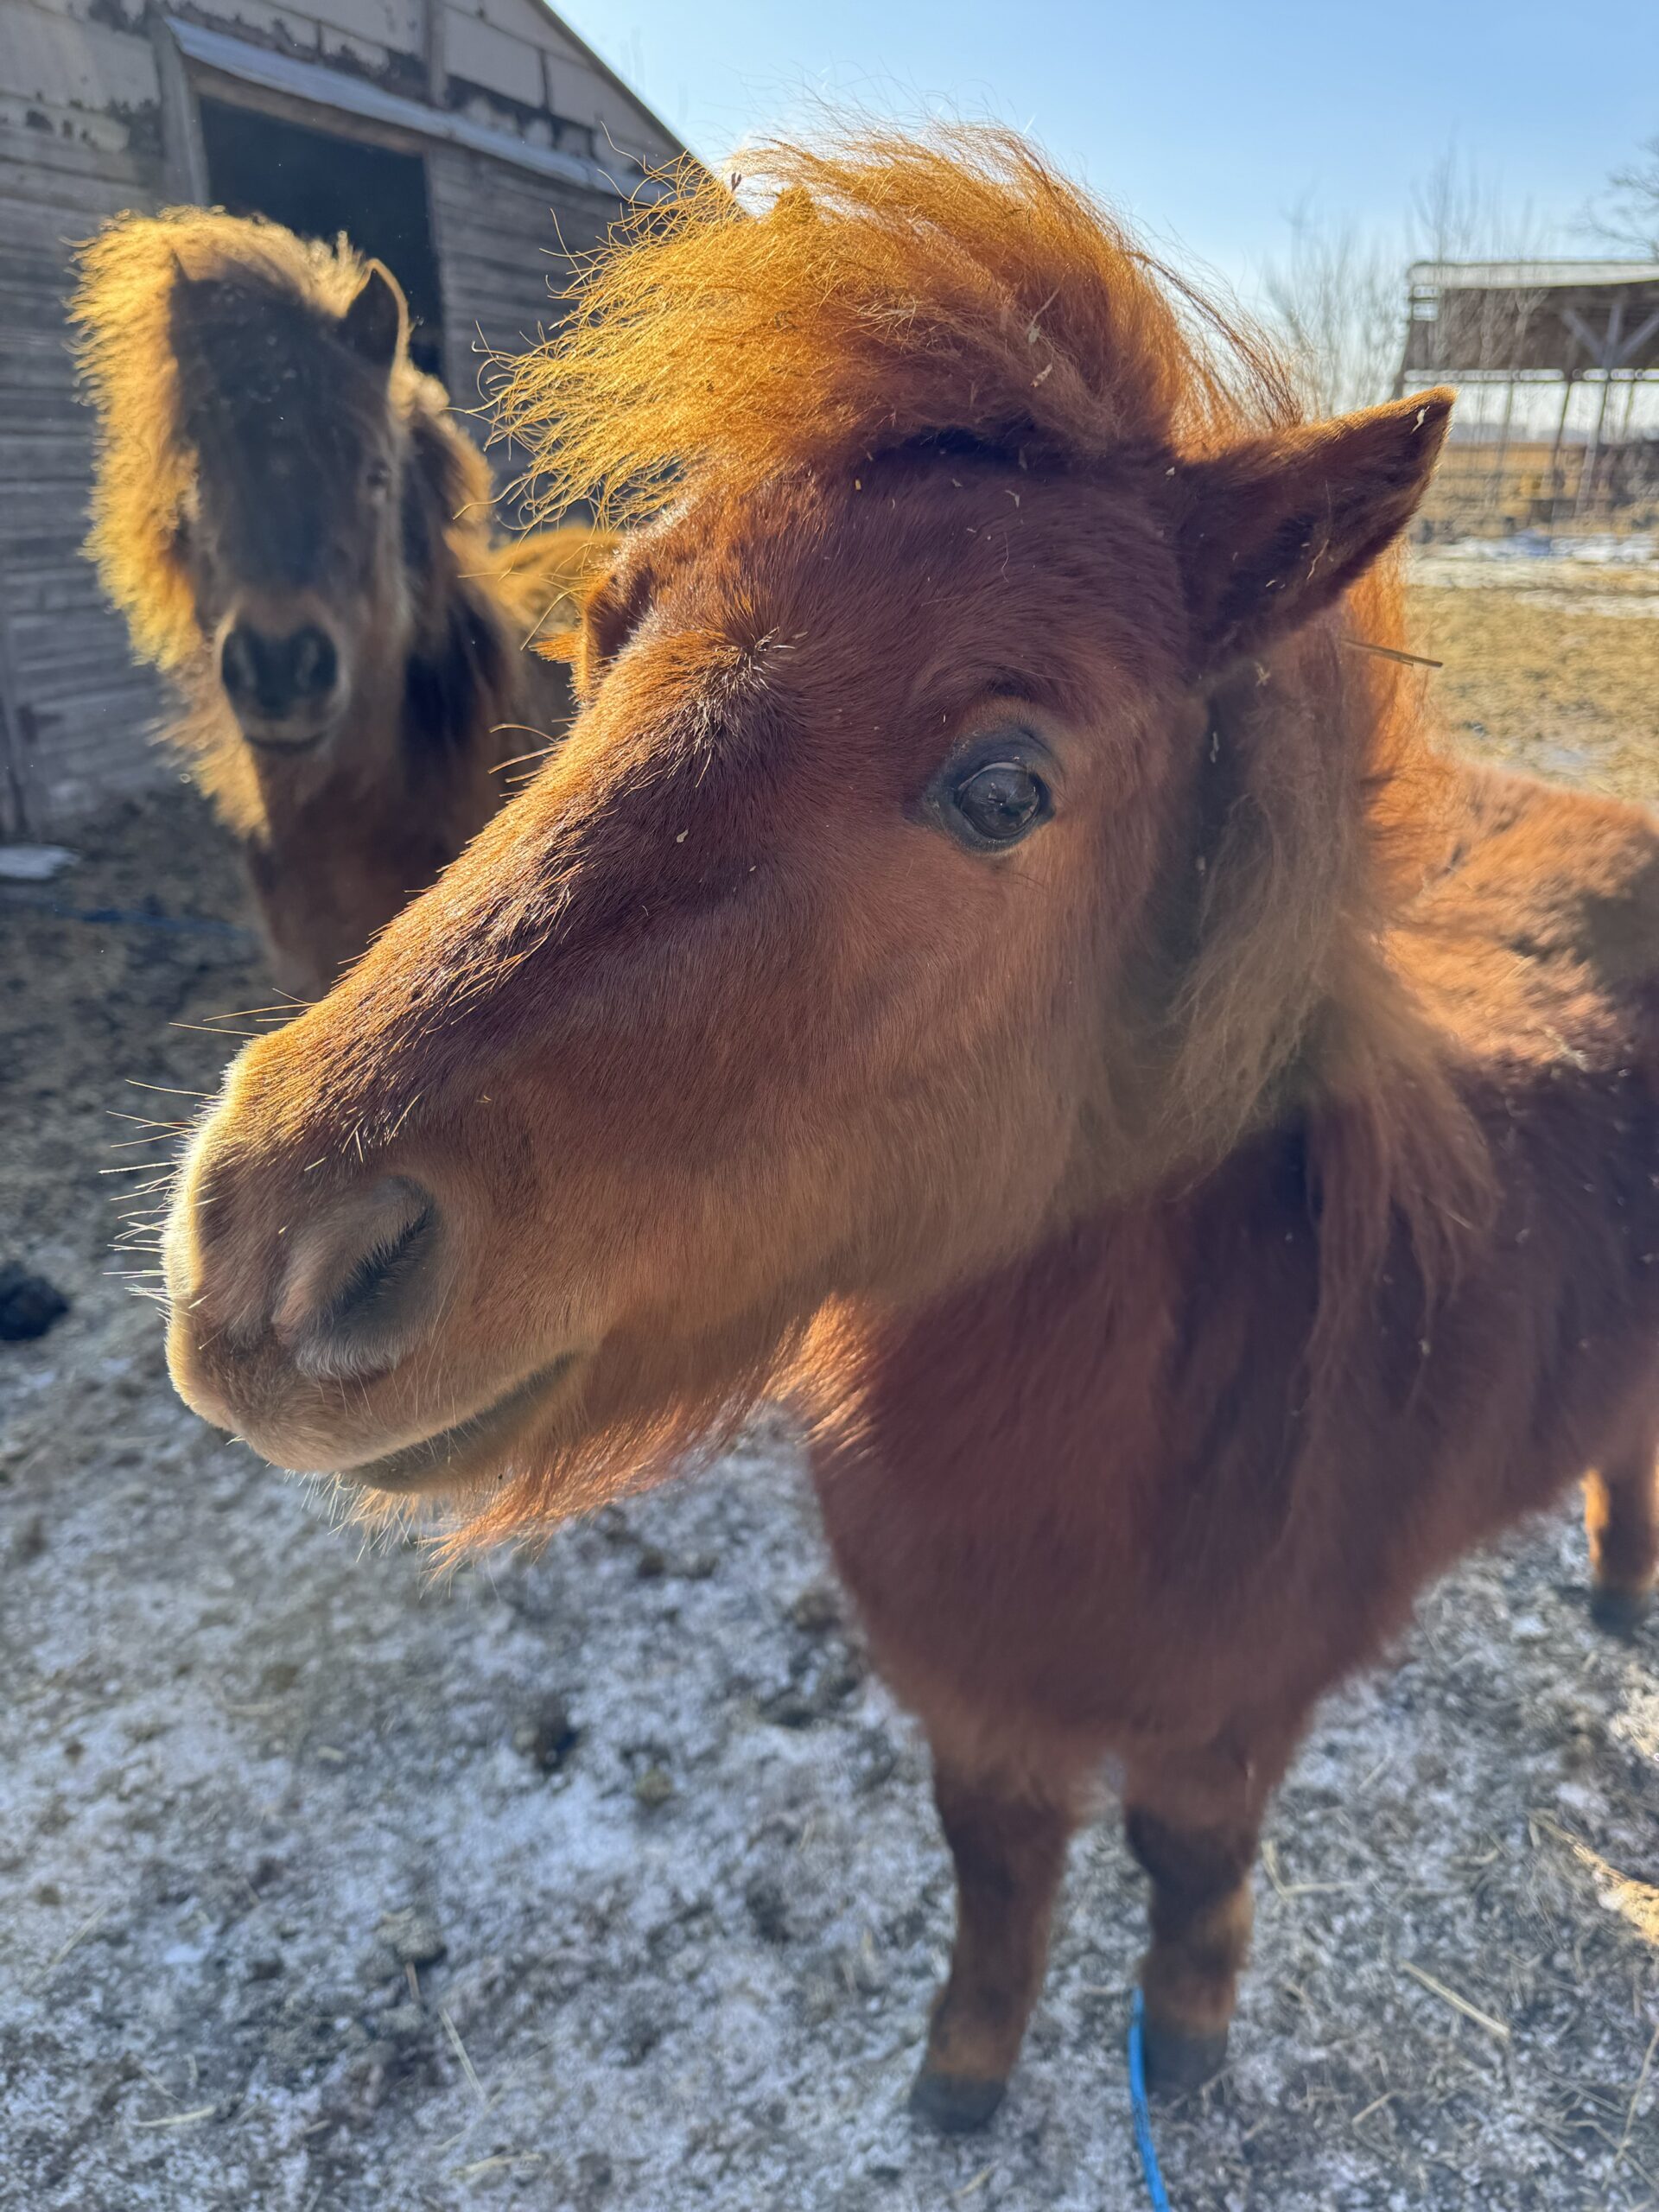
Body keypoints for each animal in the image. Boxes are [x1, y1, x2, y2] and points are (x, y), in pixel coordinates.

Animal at [157, 129, 1659, 2132]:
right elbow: (996, 1871)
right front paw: (964, 2077)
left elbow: (1190, 1877)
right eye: (601, 636)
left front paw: (1182, 2051)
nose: (266, 1247)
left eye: (1004, 786)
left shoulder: (1226, 1735)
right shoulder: (970, 1712)